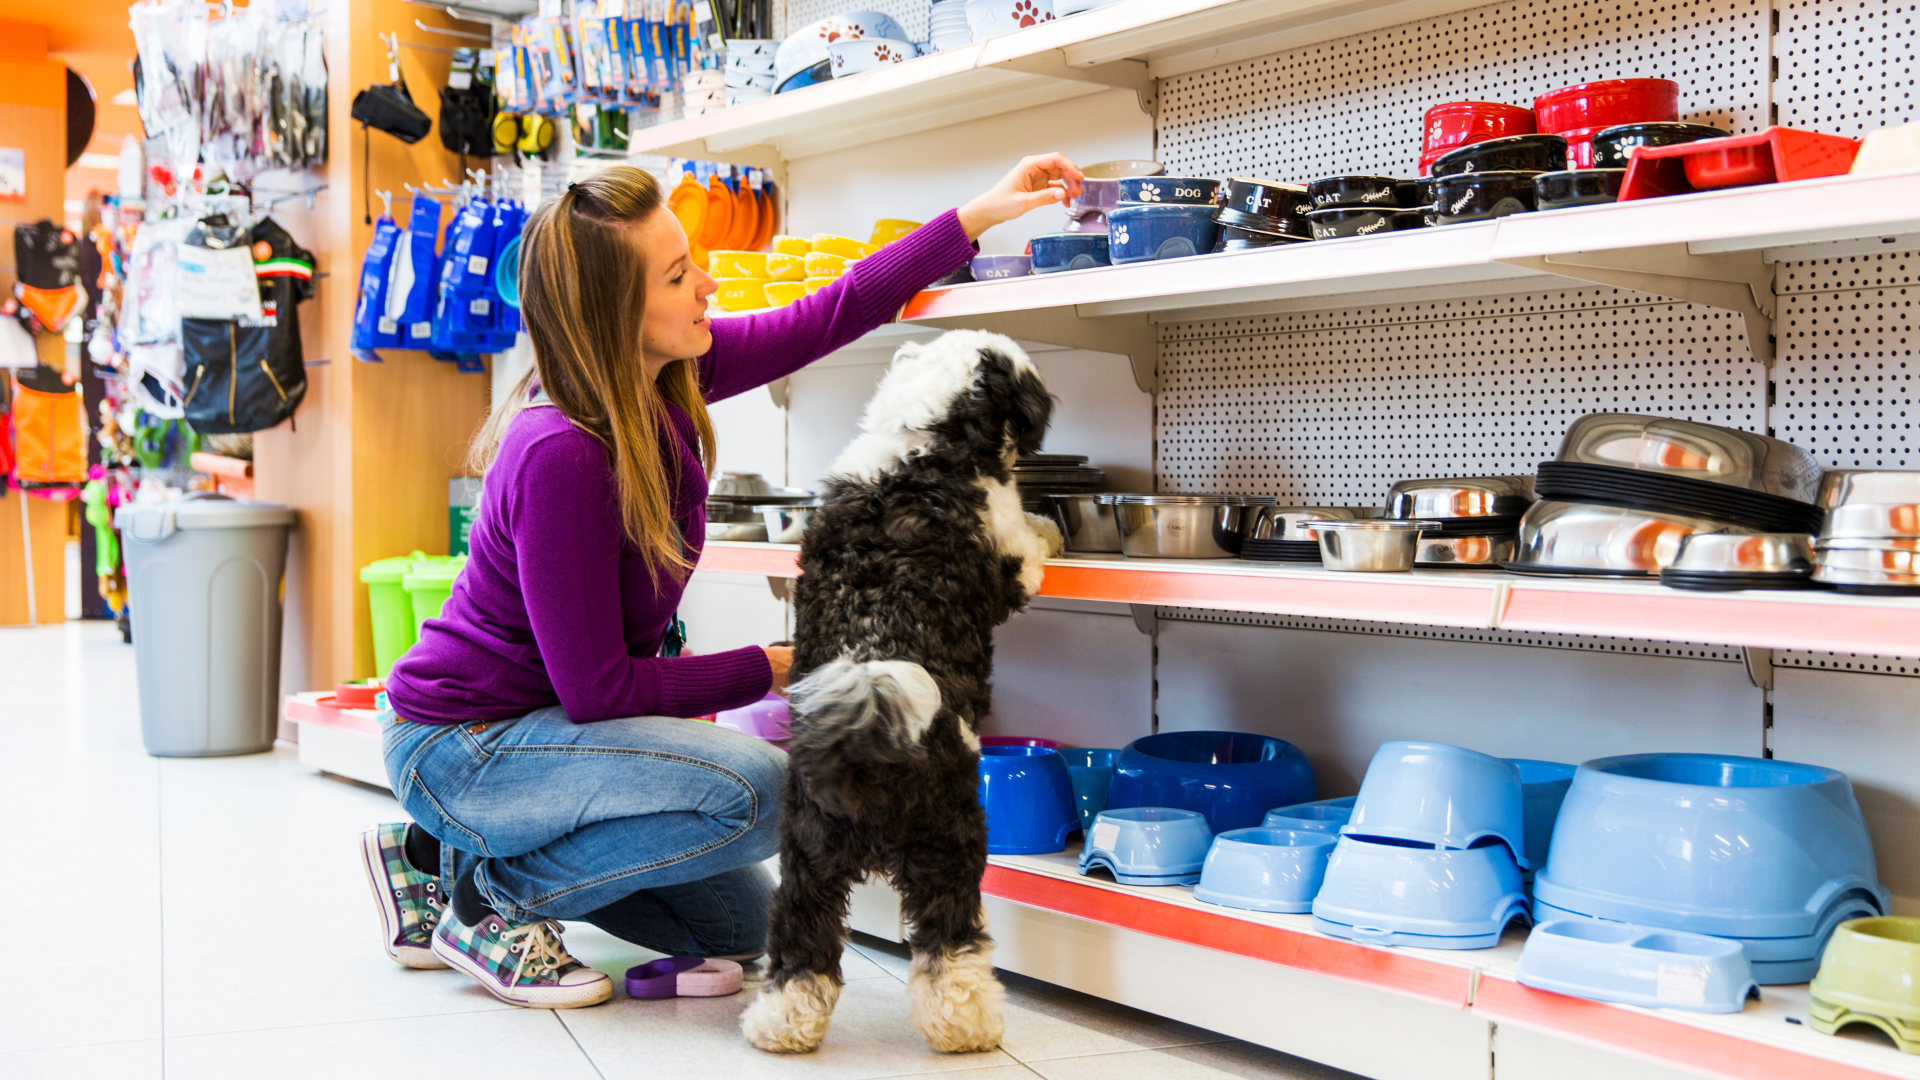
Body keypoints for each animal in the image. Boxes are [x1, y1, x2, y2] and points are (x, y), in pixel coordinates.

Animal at [737, 328, 1067, 1053]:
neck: (924, 442)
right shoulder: (1005, 551)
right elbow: (1028, 544)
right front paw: (1052, 528)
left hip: (807, 851)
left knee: (800, 943)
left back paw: (781, 1026)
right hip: (950, 839)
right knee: (950, 945)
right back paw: (967, 1026)